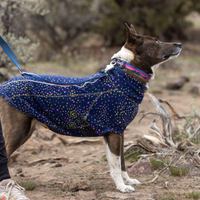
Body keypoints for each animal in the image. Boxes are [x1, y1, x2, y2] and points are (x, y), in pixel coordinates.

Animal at [0, 23, 181, 192]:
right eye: (156, 41)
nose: (179, 43)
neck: (124, 75)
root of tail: (4, 84)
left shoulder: (118, 131)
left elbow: (120, 163)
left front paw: (127, 181)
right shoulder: (113, 131)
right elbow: (116, 165)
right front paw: (122, 187)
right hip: (18, 131)